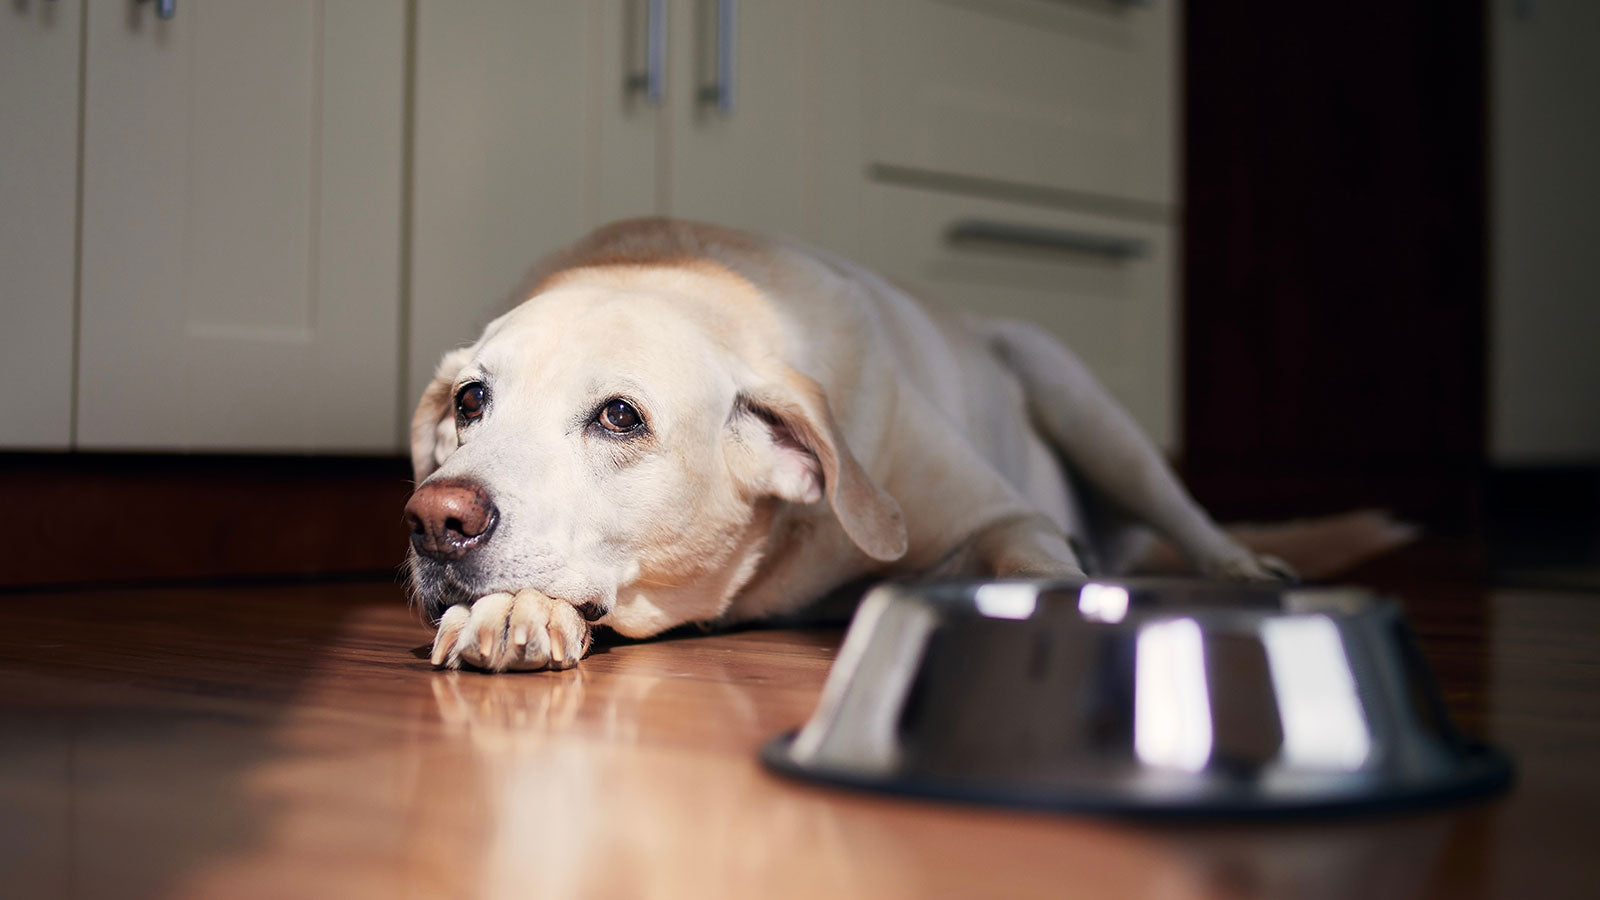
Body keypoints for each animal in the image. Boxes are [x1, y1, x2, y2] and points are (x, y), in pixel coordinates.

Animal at [409, 216, 1299, 666]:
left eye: (621, 417)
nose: (436, 520)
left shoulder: (999, 517)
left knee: (1184, 511)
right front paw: (509, 611)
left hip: (1076, 395)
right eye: (471, 399)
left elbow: (1033, 563)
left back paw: (1242, 566)